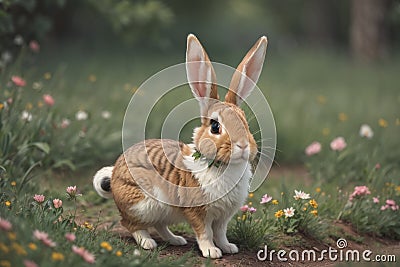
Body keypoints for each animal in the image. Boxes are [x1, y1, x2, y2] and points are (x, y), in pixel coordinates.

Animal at [93, 34, 268, 260]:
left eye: (245, 122)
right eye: (215, 126)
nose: (244, 146)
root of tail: (114, 174)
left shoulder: (223, 217)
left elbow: (220, 233)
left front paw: (229, 247)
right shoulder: (198, 212)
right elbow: (205, 233)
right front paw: (212, 252)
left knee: (159, 225)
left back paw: (176, 240)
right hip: (144, 205)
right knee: (130, 224)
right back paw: (148, 243)